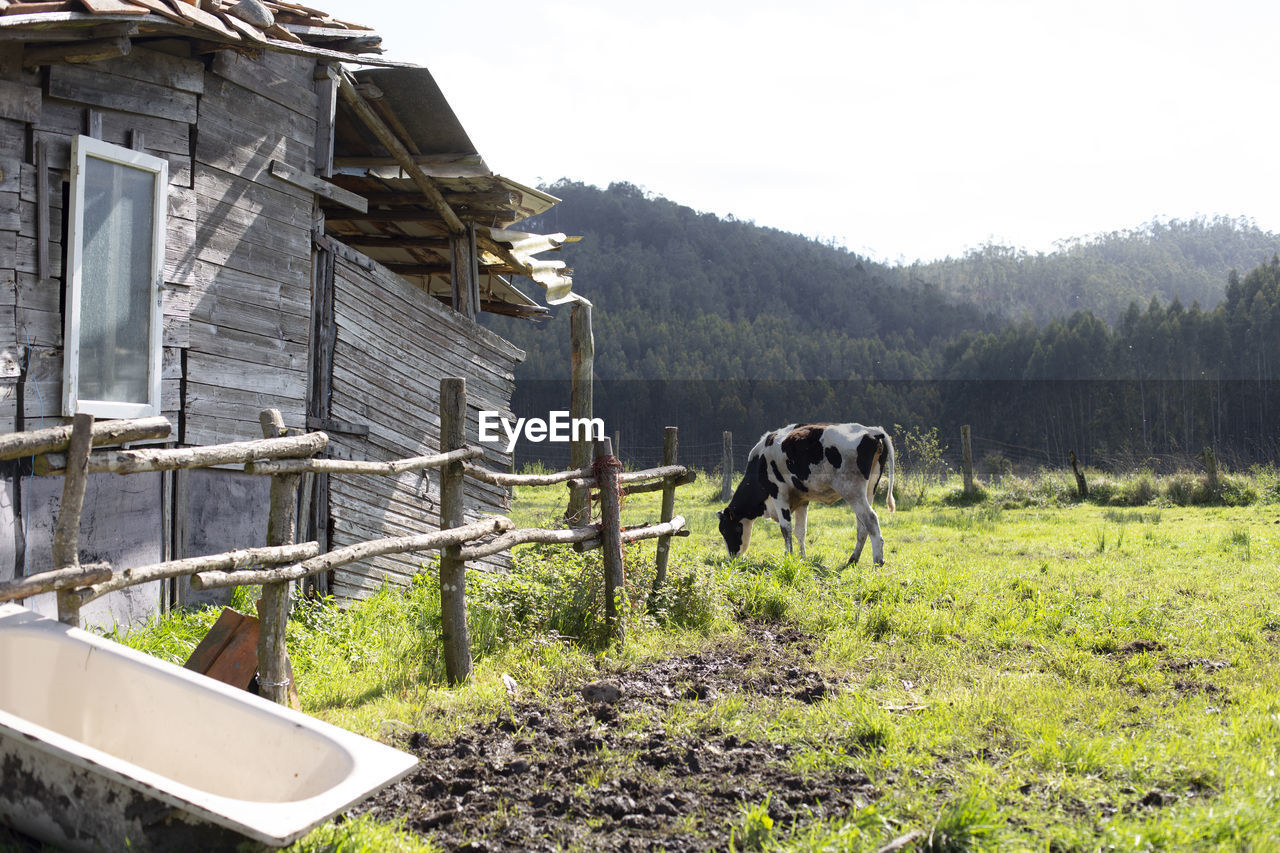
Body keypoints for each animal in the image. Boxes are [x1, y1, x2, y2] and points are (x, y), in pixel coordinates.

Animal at [716, 420, 896, 563]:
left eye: (724, 529)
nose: (732, 557)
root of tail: (871, 431)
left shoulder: (778, 493)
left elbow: (786, 529)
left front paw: (788, 556)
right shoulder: (802, 499)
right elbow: (800, 531)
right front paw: (802, 558)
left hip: (852, 491)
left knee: (871, 519)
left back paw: (878, 560)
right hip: (869, 490)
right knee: (862, 526)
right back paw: (853, 559)